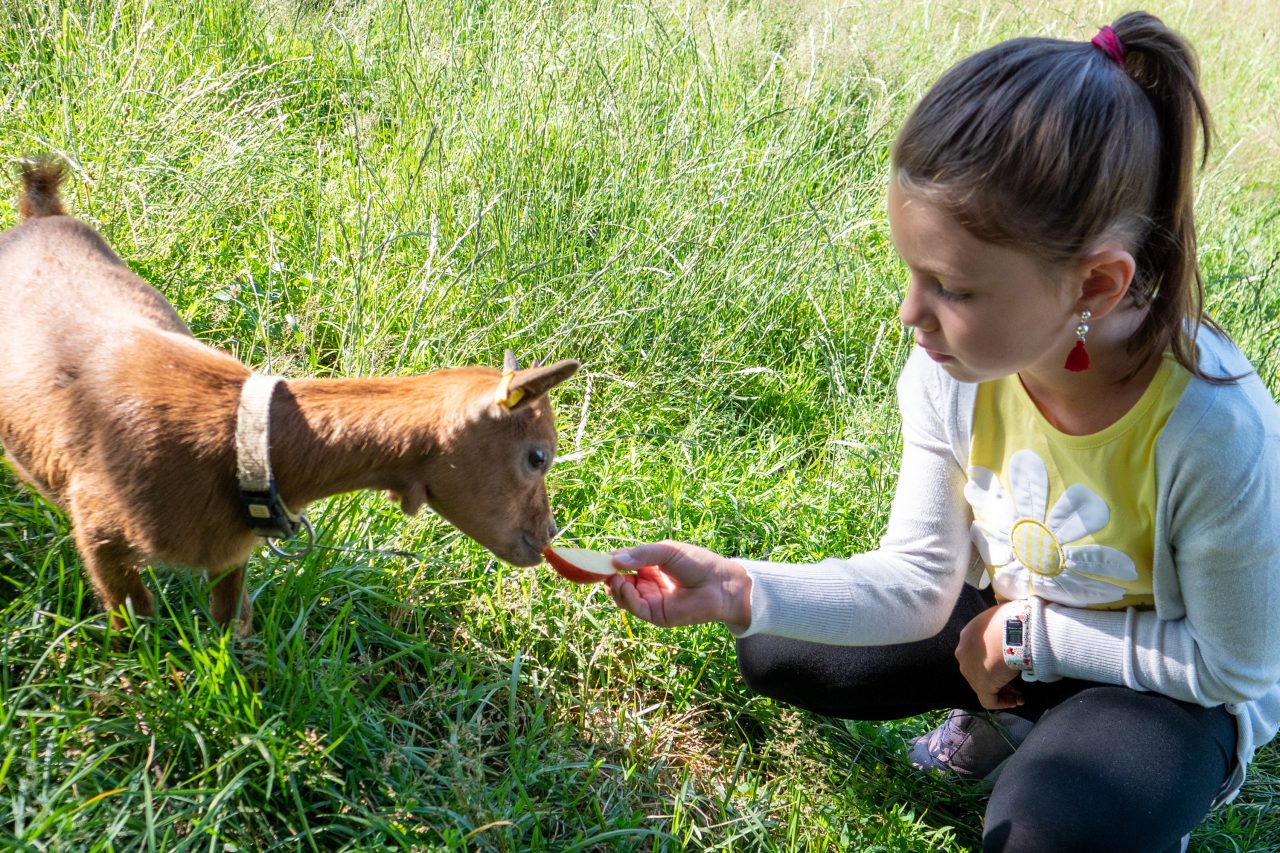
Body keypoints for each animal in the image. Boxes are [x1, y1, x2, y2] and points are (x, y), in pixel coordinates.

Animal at [0, 158, 579, 636]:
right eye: (538, 456)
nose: (550, 532)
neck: (245, 438)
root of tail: (41, 212)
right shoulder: (102, 541)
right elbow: (136, 632)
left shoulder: (229, 555)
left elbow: (233, 626)